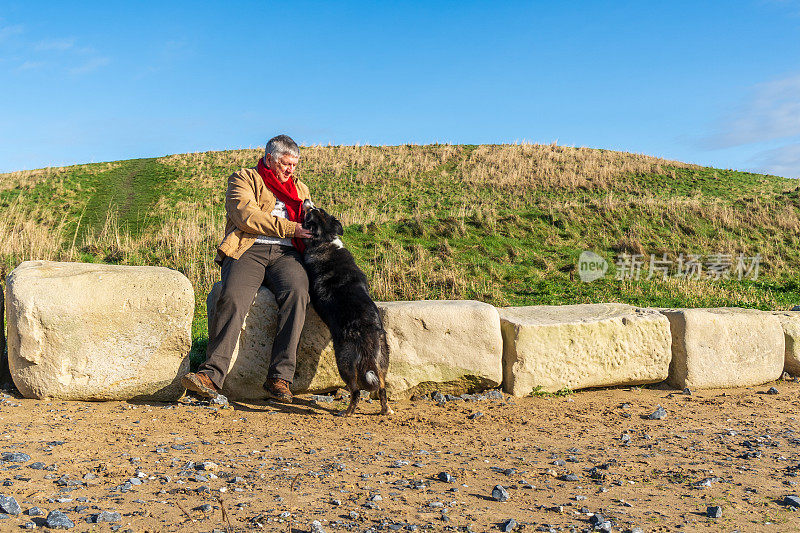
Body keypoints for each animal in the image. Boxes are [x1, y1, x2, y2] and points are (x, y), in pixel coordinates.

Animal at [300, 200, 390, 416]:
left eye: (313, 211)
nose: (307, 200)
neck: (325, 240)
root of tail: (367, 332)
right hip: (382, 359)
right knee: (382, 387)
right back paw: (386, 410)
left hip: (344, 361)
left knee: (355, 390)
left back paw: (346, 412)